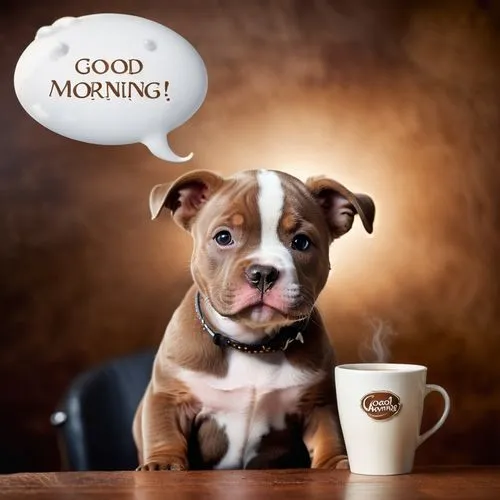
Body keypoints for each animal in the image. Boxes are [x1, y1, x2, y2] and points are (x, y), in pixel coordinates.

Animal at [133, 170, 376, 470]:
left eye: (301, 242)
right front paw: (162, 464)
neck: (251, 343)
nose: (263, 273)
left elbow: (329, 433)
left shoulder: (318, 403)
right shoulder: (168, 396)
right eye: (223, 237)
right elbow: (163, 431)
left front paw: (335, 464)